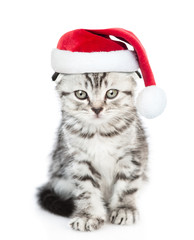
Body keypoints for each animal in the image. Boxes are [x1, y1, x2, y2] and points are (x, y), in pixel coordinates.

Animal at [37, 71, 149, 231]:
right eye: (81, 94)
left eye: (111, 93)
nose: (97, 109)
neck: (99, 132)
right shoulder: (79, 160)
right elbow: (86, 189)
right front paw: (88, 215)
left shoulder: (132, 155)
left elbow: (127, 186)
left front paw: (124, 209)